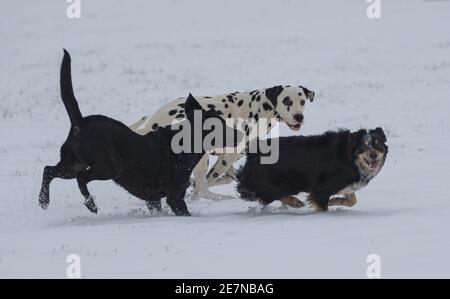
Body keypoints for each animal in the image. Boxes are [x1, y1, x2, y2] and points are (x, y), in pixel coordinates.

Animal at [40, 50, 241, 217]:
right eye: (221, 125)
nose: (240, 134)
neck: (185, 144)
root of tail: (80, 123)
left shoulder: (153, 199)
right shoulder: (175, 197)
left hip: (72, 164)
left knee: (48, 170)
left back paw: (43, 201)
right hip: (107, 166)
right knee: (81, 178)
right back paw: (91, 205)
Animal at [129, 85, 312, 200]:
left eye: (302, 101)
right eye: (287, 101)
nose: (299, 117)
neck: (261, 108)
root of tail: (154, 122)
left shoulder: (226, 157)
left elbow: (228, 178)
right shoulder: (227, 156)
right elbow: (209, 181)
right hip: (200, 158)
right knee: (202, 188)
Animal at [237, 128, 388, 211]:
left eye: (378, 145)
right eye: (363, 146)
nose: (373, 155)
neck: (350, 159)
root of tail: (252, 154)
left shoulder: (344, 185)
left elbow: (352, 200)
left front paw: (335, 201)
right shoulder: (321, 189)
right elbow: (322, 206)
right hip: (265, 180)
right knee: (272, 193)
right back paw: (295, 202)